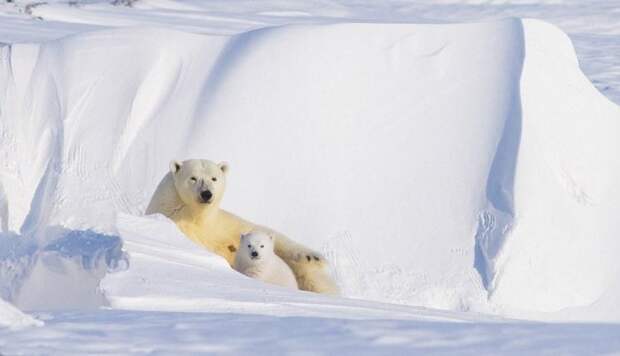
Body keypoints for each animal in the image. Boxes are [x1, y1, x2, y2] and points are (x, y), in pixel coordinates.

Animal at [145, 159, 340, 294]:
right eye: (193, 178)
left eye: (214, 178)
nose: (207, 194)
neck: (197, 216)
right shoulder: (177, 221)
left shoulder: (224, 224)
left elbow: (263, 232)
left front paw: (311, 256)